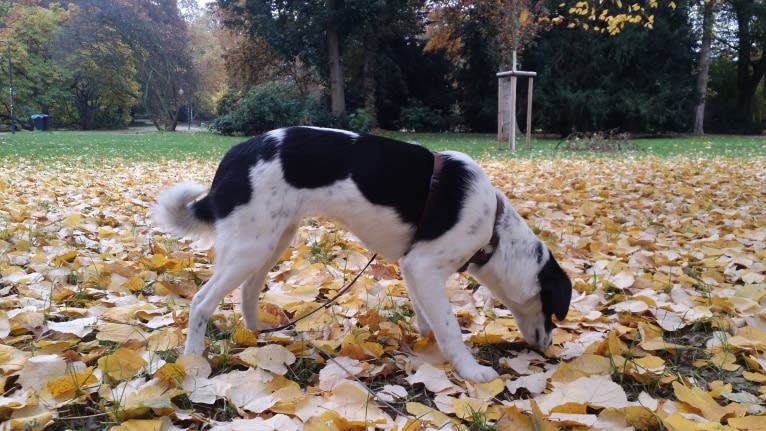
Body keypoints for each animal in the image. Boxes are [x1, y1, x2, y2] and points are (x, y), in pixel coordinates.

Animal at [153, 126, 572, 384]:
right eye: (553, 311)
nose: (548, 349)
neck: (494, 230)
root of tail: (232, 157)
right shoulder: (424, 266)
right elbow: (450, 327)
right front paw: (470, 370)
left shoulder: (413, 267)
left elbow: (428, 320)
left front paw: (425, 344)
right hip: (250, 247)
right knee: (201, 302)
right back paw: (194, 360)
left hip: (272, 240)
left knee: (248, 290)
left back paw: (258, 333)